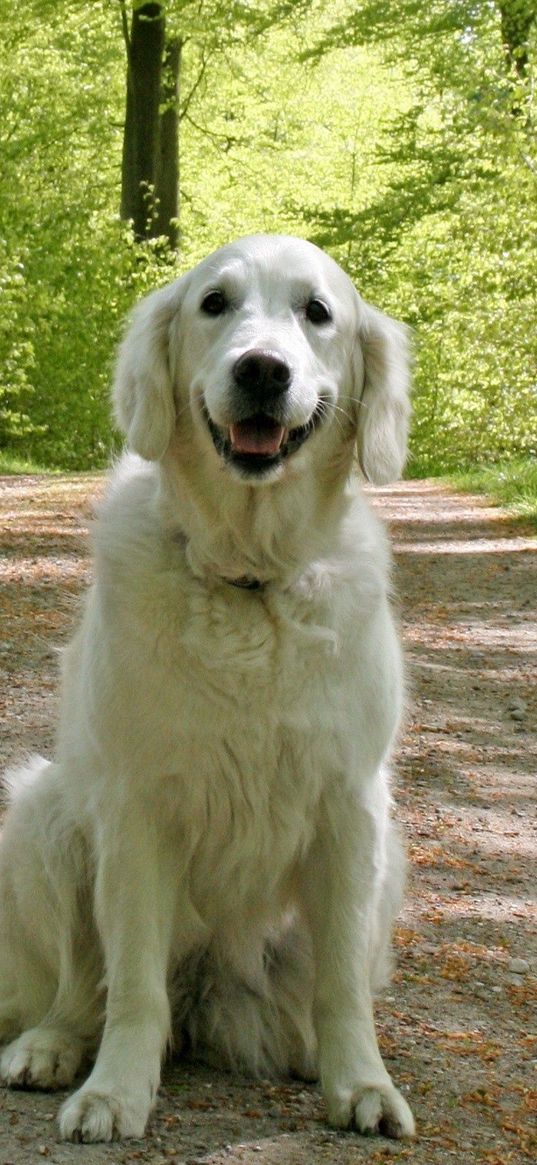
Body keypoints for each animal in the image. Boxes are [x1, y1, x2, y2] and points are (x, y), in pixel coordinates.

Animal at [0, 231, 414, 1141]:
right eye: (213, 303)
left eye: (317, 311)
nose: (262, 370)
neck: (249, 580)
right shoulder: (136, 807)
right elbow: (131, 985)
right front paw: (116, 1091)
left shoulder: (350, 805)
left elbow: (340, 984)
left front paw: (360, 1082)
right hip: (40, 813)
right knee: (80, 985)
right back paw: (51, 1047)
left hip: (385, 864)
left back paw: (305, 1050)